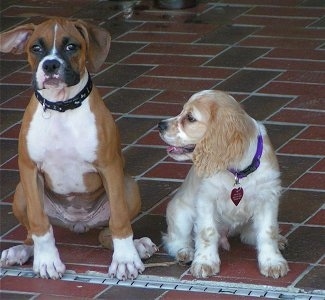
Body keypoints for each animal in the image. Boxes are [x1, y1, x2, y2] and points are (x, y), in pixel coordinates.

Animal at [0, 18, 157, 280]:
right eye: (35, 48)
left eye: (71, 46)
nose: (50, 64)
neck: (62, 107)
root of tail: (78, 222)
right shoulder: (29, 170)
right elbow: (39, 223)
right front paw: (47, 261)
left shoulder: (109, 167)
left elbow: (120, 221)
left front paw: (125, 260)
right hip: (21, 192)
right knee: (31, 232)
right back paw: (21, 250)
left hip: (129, 186)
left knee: (108, 231)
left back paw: (138, 246)